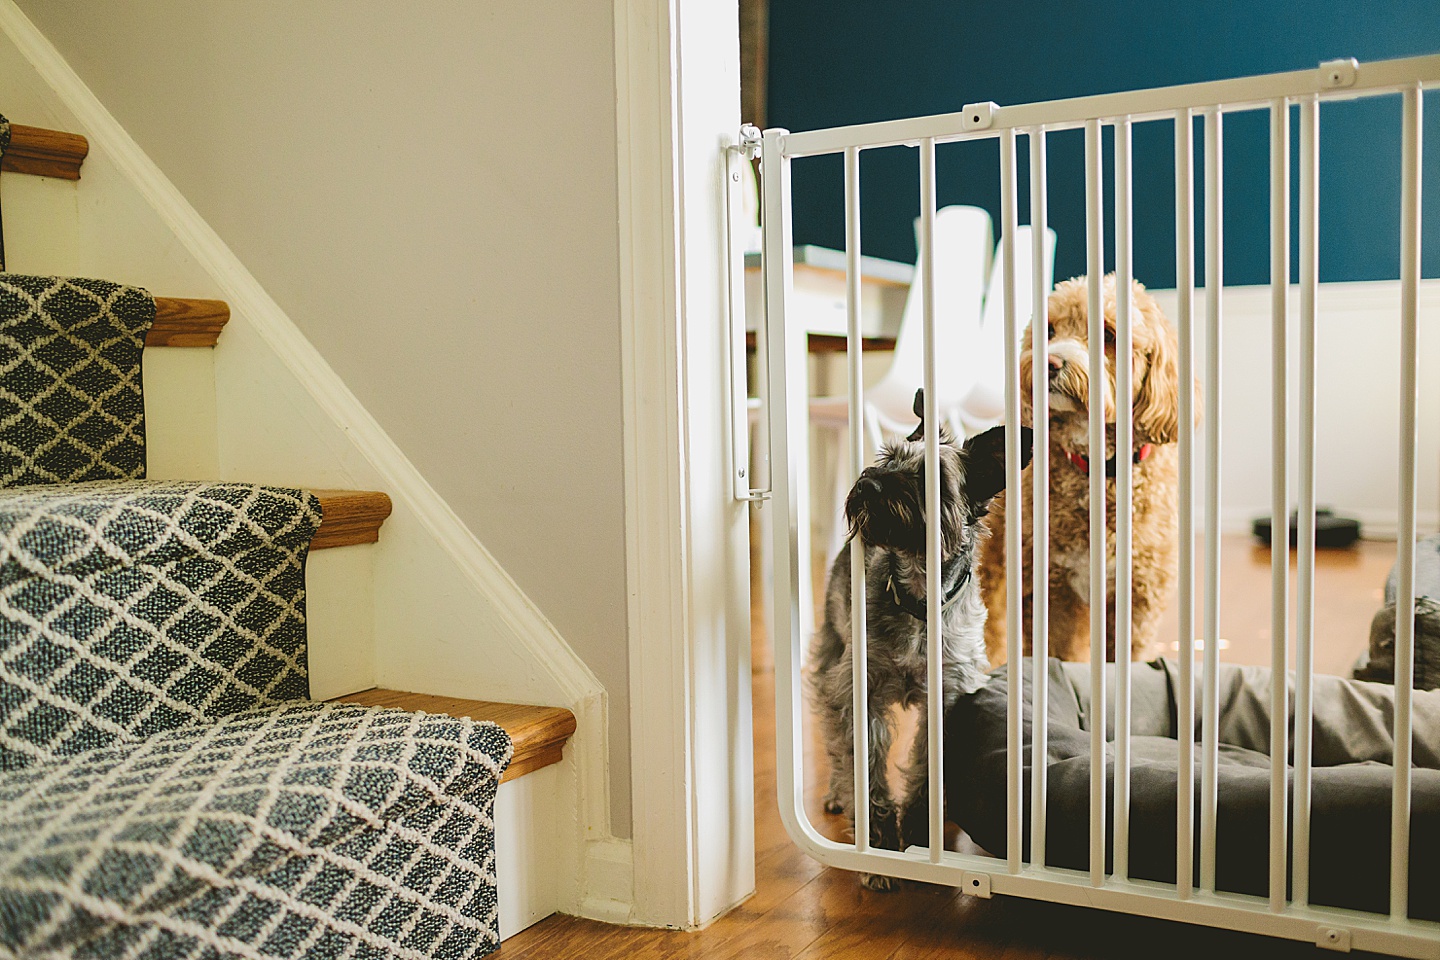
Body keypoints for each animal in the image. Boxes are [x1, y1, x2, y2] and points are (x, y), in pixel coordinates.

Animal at [812, 388, 1036, 886]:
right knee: (832, 736)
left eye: (930, 476)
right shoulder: (859, 692)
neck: (918, 598)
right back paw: (837, 791)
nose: (867, 484)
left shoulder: (946, 701)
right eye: (887, 457)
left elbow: (925, 771)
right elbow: (865, 764)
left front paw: (918, 832)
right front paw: (877, 849)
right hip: (831, 656)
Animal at [979, 273, 1180, 667]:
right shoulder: (1052, 593)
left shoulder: (1137, 600)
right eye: (1049, 331)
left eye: (1108, 334)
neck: (1098, 469)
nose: (1050, 362)